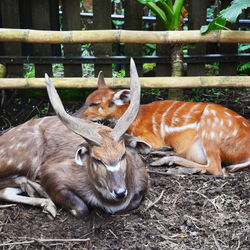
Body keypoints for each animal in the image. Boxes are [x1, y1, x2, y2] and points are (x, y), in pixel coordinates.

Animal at [0, 58, 150, 217]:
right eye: (97, 159)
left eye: (123, 155)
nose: (120, 192)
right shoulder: (53, 175)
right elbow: (81, 209)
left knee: (5, 191)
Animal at [76, 73, 250, 177]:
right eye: (87, 99)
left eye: (95, 103)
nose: (75, 114)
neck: (136, 116)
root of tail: (246, 153)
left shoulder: (151, 136)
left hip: (210, 130)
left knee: (216, 168)